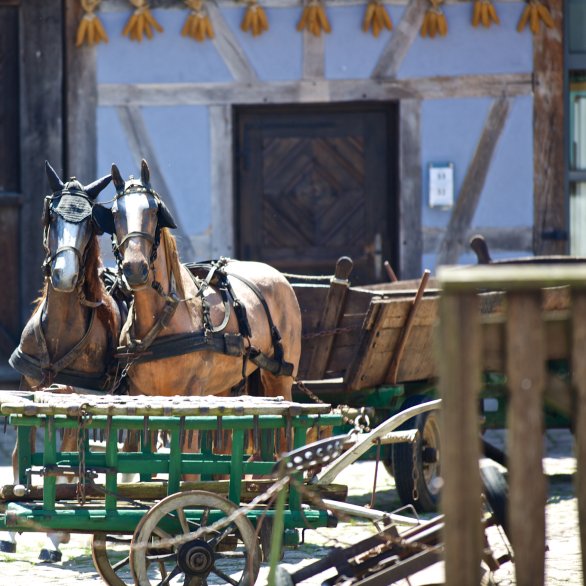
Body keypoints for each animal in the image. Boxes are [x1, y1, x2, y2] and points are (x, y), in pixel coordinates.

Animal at [4, 162, 118, 560]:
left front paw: (57, 534)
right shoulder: (30, 387)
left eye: (91, 223)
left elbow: (65, 459)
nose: (65, 275)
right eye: (52, 216)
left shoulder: (75, 395)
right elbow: (21, 452)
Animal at [92, 157, 302, 400]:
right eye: (115, 213)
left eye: (153, 211)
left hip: (280, 377)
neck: (165, 317)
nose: (135, 268)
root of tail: (278, 276)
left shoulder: (193, 389)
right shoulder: (141, 391)